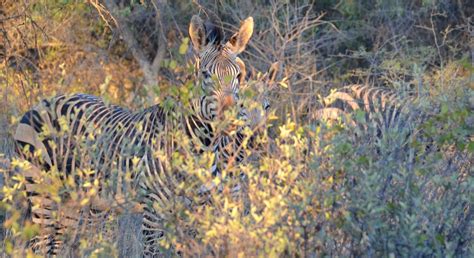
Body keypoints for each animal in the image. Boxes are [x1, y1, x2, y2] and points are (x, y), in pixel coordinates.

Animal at [12, 14, 264, 256]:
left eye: (239, 76)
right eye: (205, 75)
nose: (231, 119)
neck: (202, 146)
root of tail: (41, 102)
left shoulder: (196, 210)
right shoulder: (153, 211)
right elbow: (152, 252)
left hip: (72, 201)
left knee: (57, 245)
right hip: (42, 192)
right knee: (41, 244)